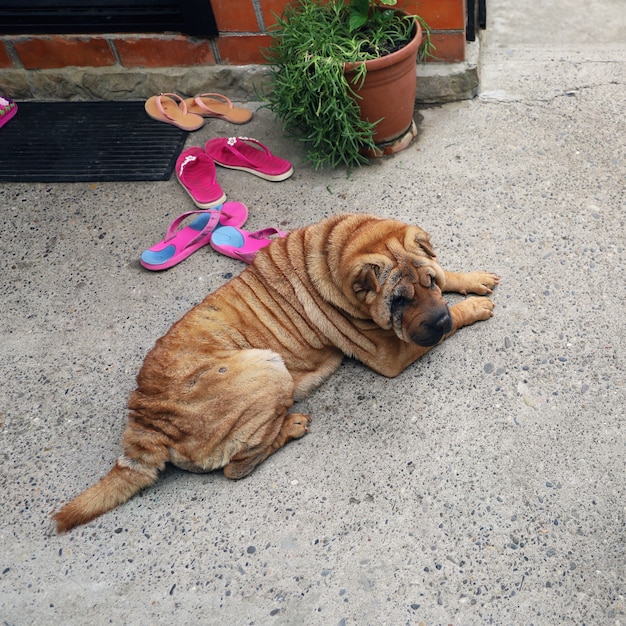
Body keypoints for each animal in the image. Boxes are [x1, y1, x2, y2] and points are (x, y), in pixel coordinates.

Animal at [52, 212, 498, 528]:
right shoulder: (392, 353)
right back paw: (291, 425)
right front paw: (471, 308)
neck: (332, 257)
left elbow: (450, 272)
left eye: (428, 282)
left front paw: (471, 279)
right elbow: (450, 324)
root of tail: (145, 419)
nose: (437, 319)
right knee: (237, 466)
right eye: (399, 301)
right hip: (267, 365)